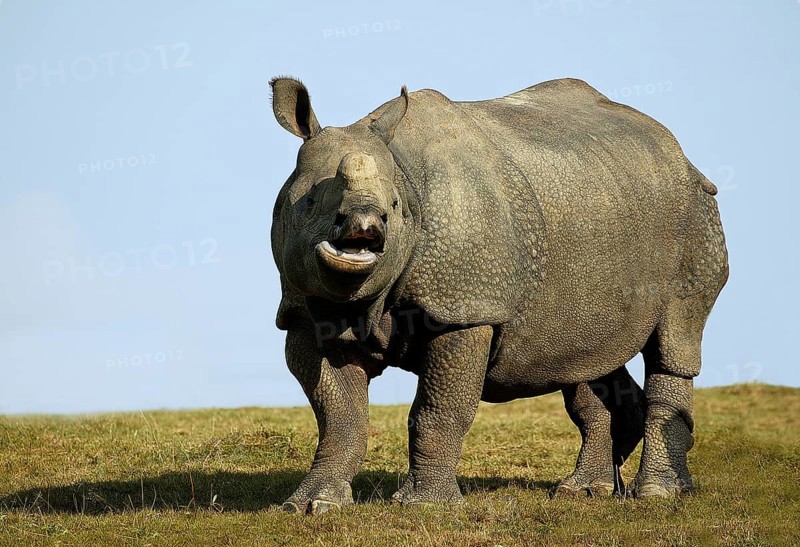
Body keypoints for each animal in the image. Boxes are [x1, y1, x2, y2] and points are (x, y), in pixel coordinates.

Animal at [268, 76, 728, 514]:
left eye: (394, 208)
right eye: (310, 201)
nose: (366, 224)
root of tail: (680, 153)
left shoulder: (466, 307)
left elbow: (437, 410)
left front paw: (425, 506)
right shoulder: (306, 314)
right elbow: (339, 416)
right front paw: (310, 504)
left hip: (693, 215)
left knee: (674, 338)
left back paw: (657, 494)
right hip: (604, 205)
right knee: (583, 357)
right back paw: (582, 492)